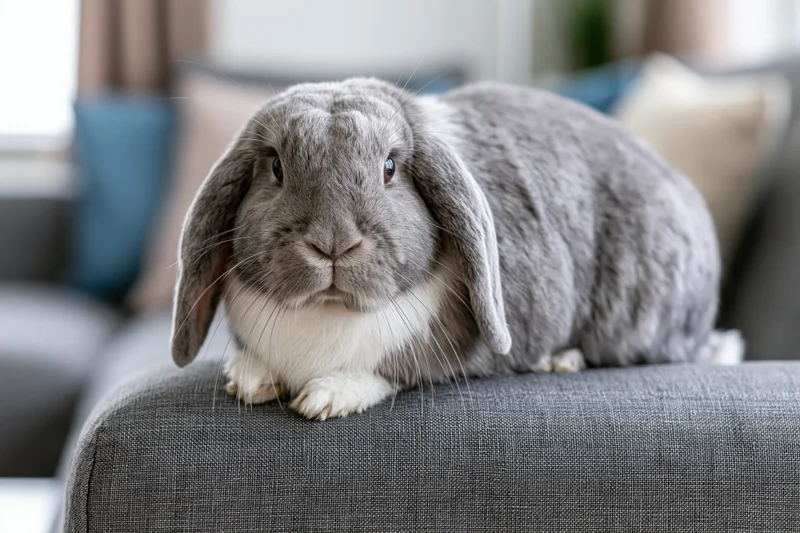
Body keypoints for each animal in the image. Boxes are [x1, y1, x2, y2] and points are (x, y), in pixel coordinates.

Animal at [171, 78, 744, 420]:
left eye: (389, 168)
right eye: (275, 167)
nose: (334, 244)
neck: (328, 313)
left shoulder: (436, 349)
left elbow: (392, 370)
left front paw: (324, 399)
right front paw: (248, 381)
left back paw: (561, 361)